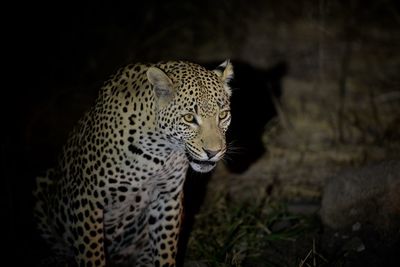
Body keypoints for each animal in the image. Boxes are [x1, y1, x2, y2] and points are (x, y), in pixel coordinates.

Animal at [34, 60, 234, 267]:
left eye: (223, 115)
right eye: (189, 118)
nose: (213, 152)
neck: (160, 153)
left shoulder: (167, 198)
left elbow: (165, 250)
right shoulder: (86, 198)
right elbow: (92, 253)